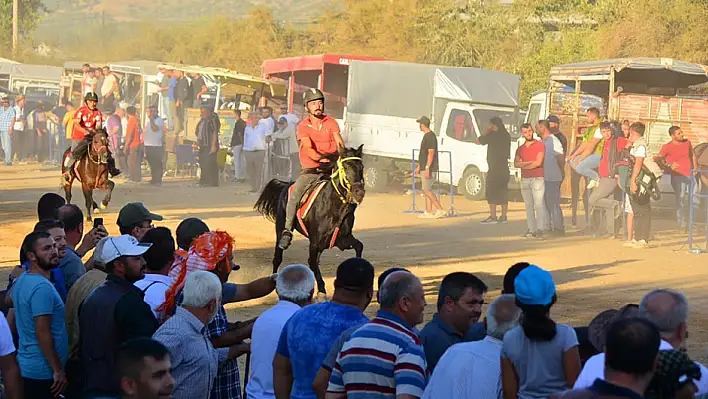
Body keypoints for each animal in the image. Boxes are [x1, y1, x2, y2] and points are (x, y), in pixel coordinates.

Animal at [254, 145, 366, 296]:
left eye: (361, 167)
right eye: (346, 167)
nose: (359, 192)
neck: (333, 207)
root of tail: (286, 185)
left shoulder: (342, 239)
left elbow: (359, 246)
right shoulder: (315, 243)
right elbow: (312, 263)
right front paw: (321, 292)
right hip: (280, 228)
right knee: (277, 257)